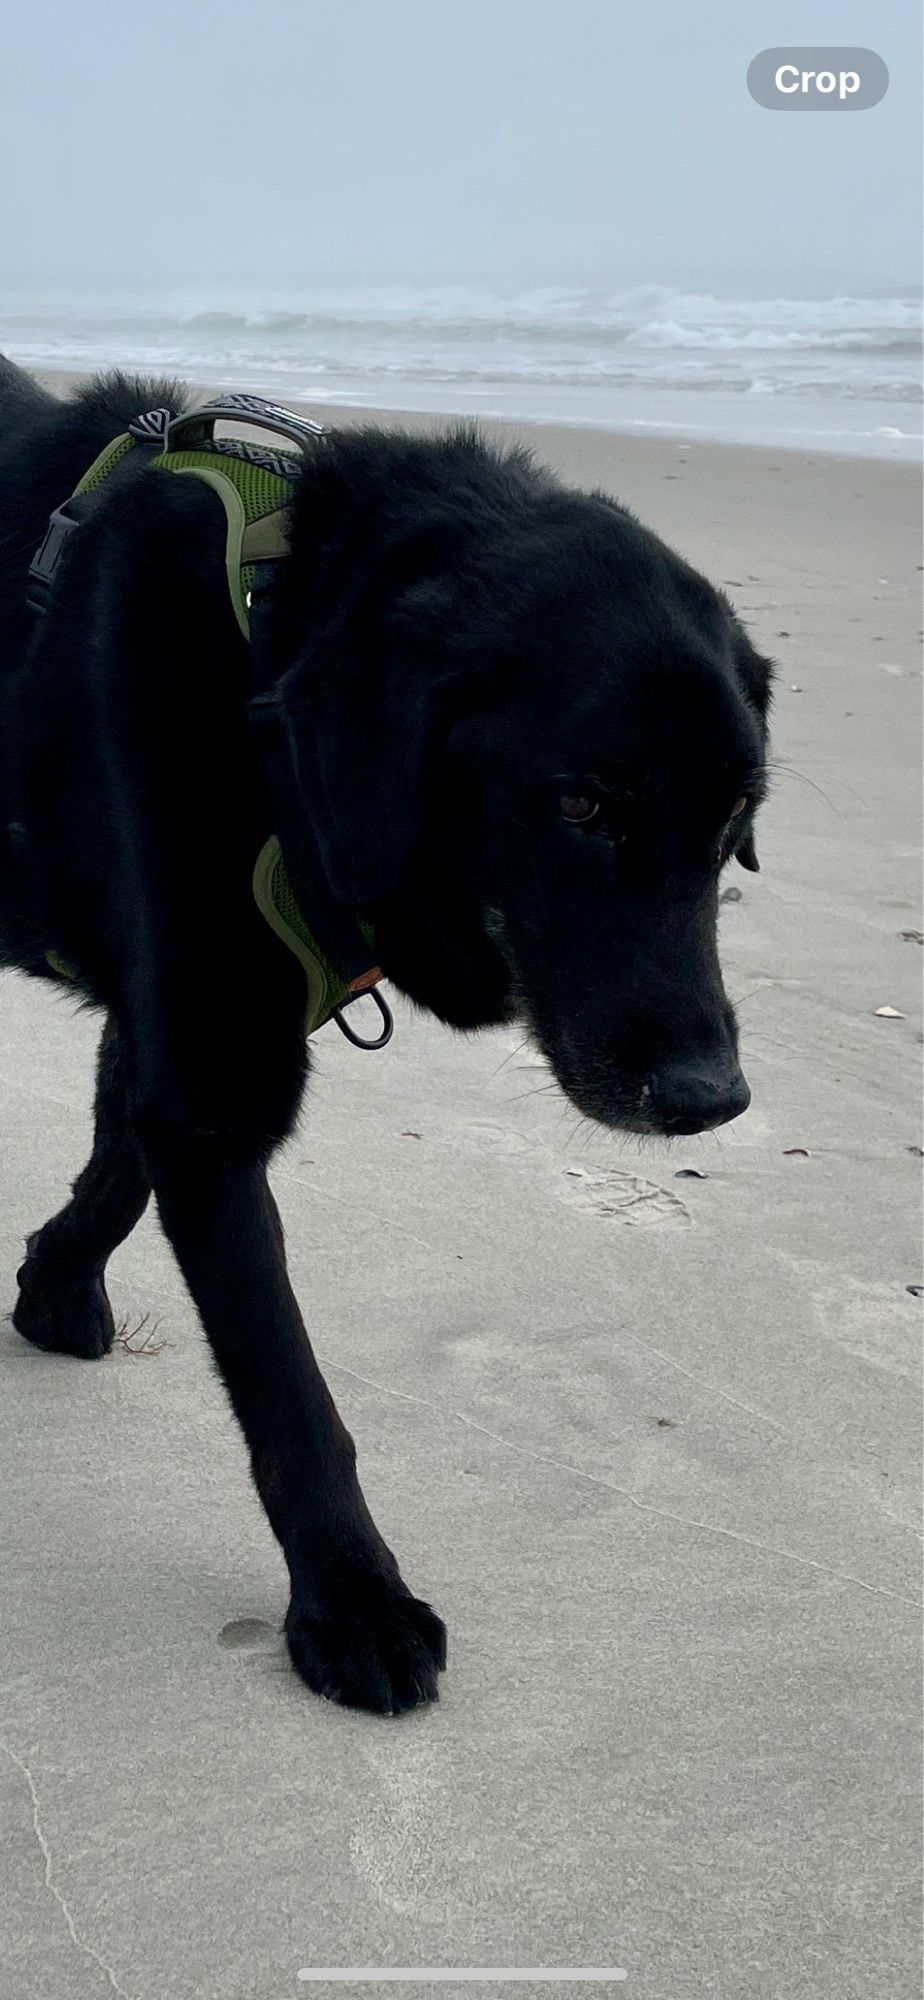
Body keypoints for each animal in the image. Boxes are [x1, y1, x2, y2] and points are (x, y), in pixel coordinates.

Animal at [0, 360, 772, 1704]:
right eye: (581, 804)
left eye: (737, 812)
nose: (707, 1095)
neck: (260, 652)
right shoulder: (212, 1087)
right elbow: (292, 1390)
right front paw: (353, 1602)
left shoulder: (178, 1032)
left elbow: (115, 1162)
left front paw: (51, 1285)